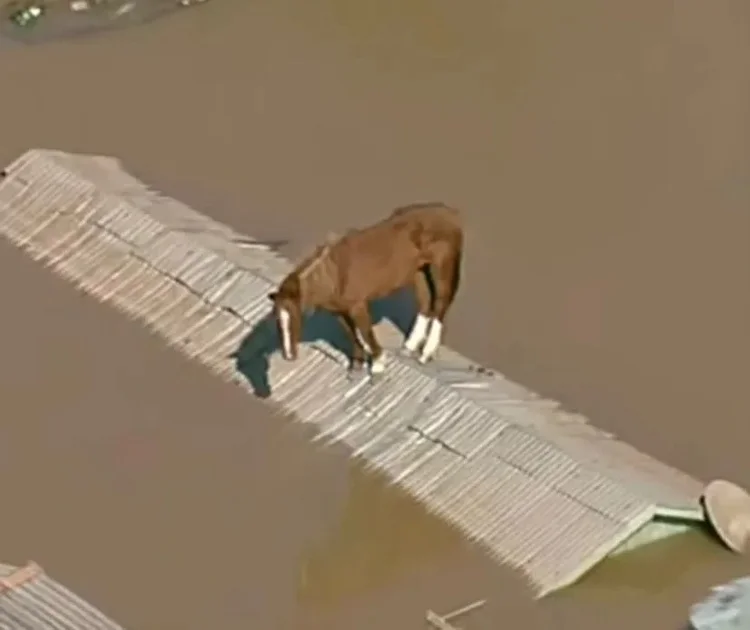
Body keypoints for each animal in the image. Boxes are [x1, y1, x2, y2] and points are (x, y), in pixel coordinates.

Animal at [264, 204, 464, 376]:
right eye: (277, 320)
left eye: (295, 316)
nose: (289, 356)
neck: (334, 273)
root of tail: (451, 213)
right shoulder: (339, 311)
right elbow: (353, 335)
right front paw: (357, 365)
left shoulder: (357, 306)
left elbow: (365, 331)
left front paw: (378, 363)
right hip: (418, 271)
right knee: (425, 302)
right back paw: (410, 346)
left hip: (443, 266)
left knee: (441, 303)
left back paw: (426, 353)